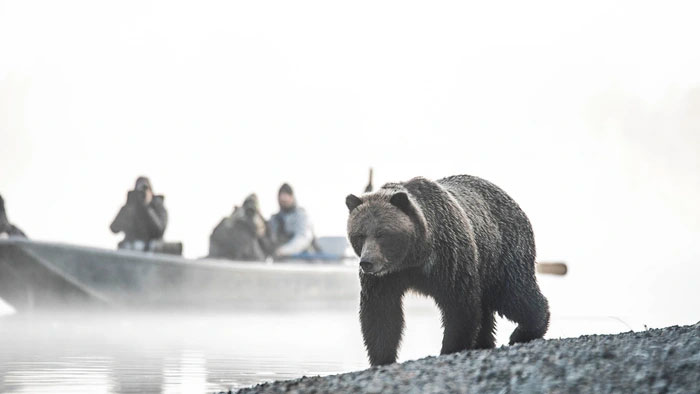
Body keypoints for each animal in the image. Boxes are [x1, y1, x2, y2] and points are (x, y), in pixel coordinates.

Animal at [348, 175, 548, 366]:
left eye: (382, 234)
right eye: (360, 235)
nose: (367, 262)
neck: (413, 258)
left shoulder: (449, 259)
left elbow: (459, 305)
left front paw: (451, 348)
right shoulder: (385, 278)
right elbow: (381, 313)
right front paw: (382, 358)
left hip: (502, 252)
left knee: (513, 293)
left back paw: (525, 331)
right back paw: (484, 342)